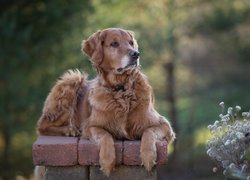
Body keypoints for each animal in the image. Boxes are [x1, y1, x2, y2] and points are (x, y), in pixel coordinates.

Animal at [36, 27, 175, 176]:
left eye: (131, 43)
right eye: (114, 44)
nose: (136, 54)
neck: (121, 89)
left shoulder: (164, 125)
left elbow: (148, 132)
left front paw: (148, 156)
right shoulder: (90, 126)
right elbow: (105, 135)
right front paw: (107, 162)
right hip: (73, 79)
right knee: (42, 126)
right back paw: (70, 130)